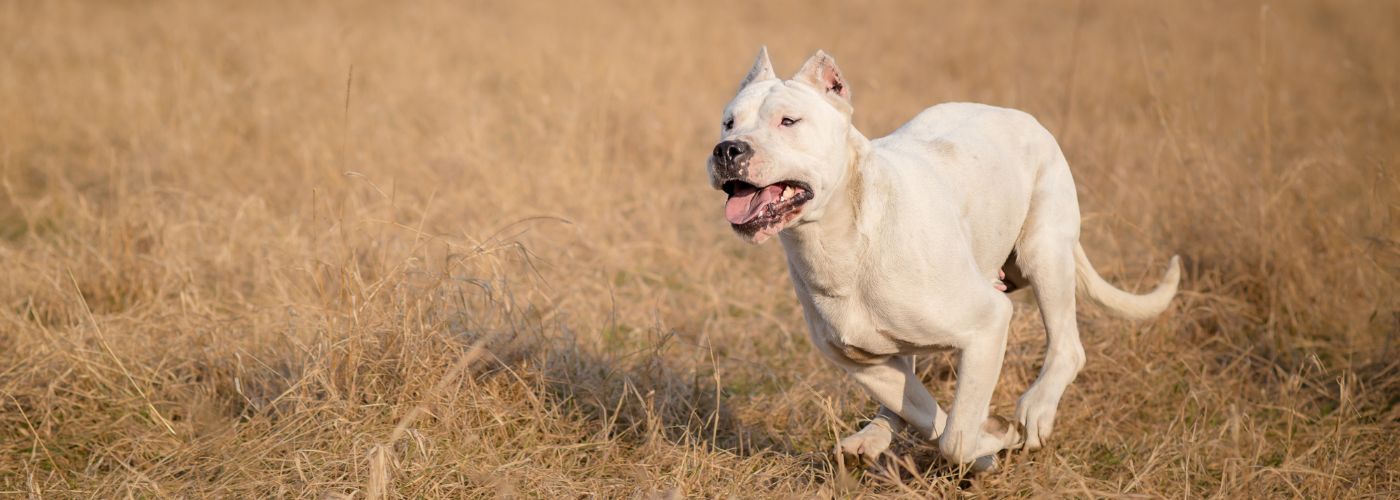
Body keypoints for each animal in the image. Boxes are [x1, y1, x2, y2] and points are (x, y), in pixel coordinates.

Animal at [711, 48, 1181, 470]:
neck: (840, 241)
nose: (727, 149)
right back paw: (874, 436)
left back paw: (1036, 411)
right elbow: (930, 416)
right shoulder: (860, 363)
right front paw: (988, 444)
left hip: (1045, 253)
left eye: (788, 121)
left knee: (1067, 346)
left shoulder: (988, 324)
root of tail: (1017, 115)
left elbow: (954, 437)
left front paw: (994, 439)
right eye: (729, 121)